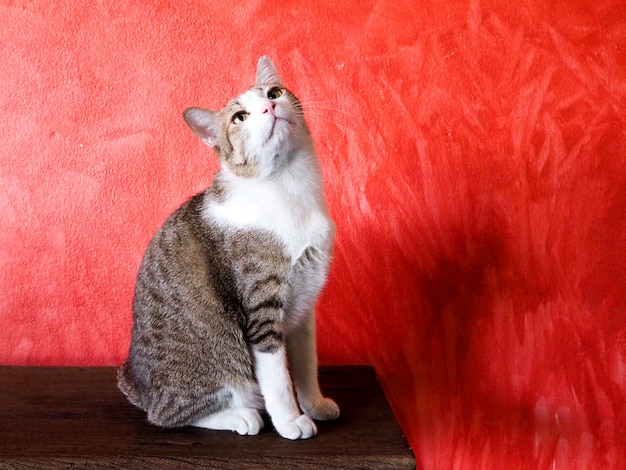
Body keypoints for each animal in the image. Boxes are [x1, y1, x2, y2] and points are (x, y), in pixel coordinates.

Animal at [119, 57, 338, 438]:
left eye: (274, 93)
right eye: (240, 117)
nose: (269, 107)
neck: (289, 187)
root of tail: (136, 383)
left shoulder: (304, 307)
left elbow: (306, 364)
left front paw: (314, 404)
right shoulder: (261, 307)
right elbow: (277, 378)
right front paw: (290, 421)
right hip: (217, 359)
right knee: (168, 414)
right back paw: (240, 417)